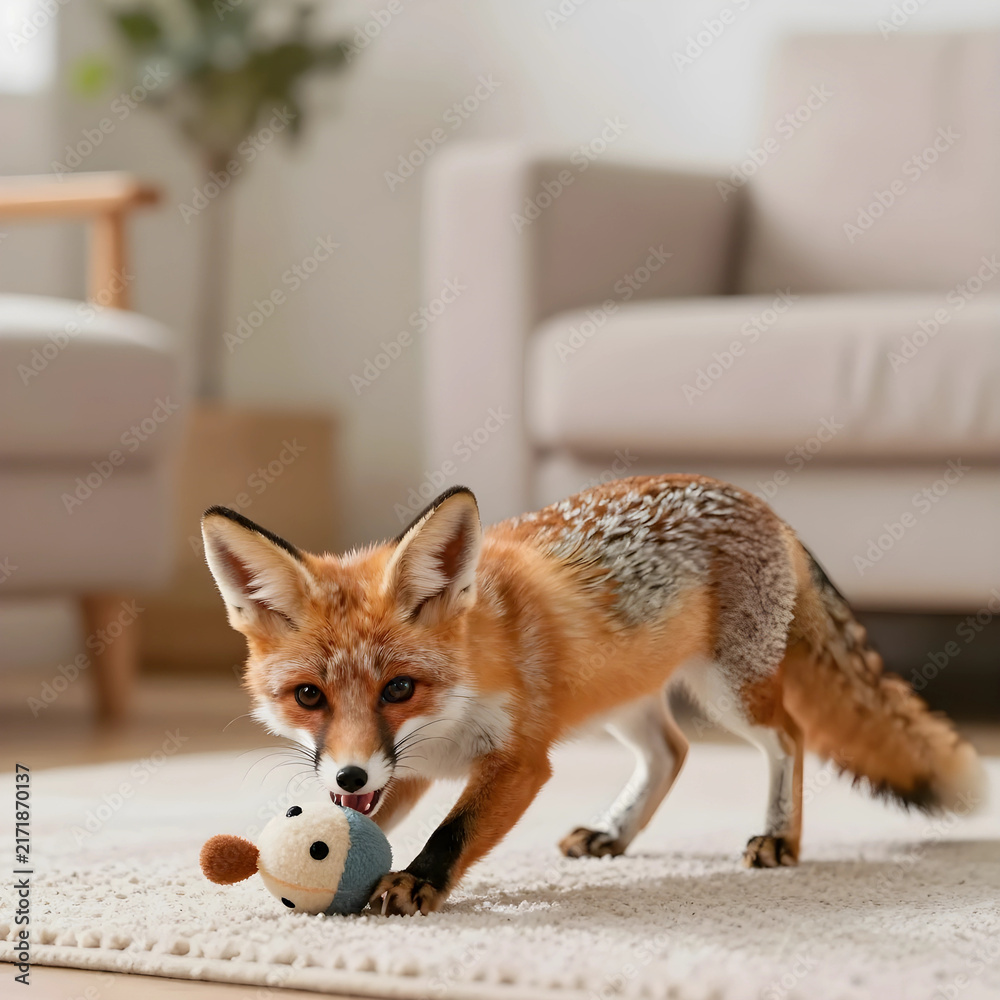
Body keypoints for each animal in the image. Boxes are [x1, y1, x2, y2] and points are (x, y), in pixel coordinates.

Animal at [201, 475, 985, 916]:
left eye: (399, 688)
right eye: (309, 697)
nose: (350, 772)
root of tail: (756, 500)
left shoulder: (520, 759)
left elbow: (452, 830)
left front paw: (416, 883)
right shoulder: (407, 768)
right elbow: (361, 817)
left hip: (728, 691)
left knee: (787, 737)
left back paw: (779, 837)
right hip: (623, 701)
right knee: (671, 752)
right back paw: (616, 832)